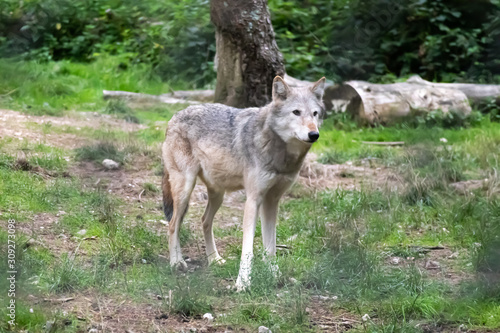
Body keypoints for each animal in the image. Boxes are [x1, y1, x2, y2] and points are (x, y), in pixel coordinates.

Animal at [160, 74, 324, 288]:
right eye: (296, 112)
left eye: (315, 114)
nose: (314, 134)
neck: (281, 154)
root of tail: (174, 117)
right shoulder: (253, 199)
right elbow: (248, 249)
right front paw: (243, 283)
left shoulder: (272, 201)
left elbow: (270, 245)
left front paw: (274, 275)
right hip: (185, 190)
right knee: (173, 224)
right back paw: (176, 263)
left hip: (218, 195)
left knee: (204, 221)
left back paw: (214, 259)